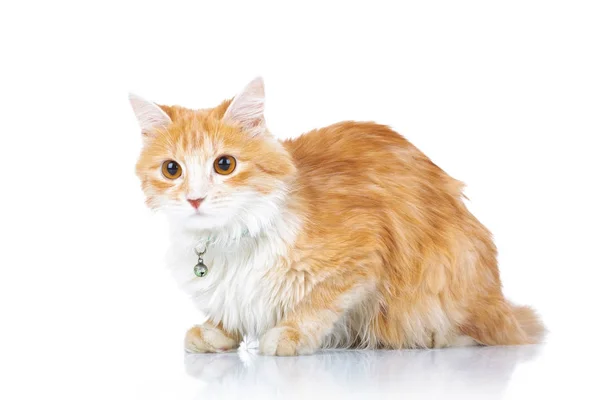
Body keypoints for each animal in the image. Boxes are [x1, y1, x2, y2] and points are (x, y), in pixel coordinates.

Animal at [130, 76, 544, 354]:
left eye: (225, 164)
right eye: (172, 169)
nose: (195, 199)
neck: (229, 237)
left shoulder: (364, 251)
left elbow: (317, 305)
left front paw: (288, 335)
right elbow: (231, 309)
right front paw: (216, 332)